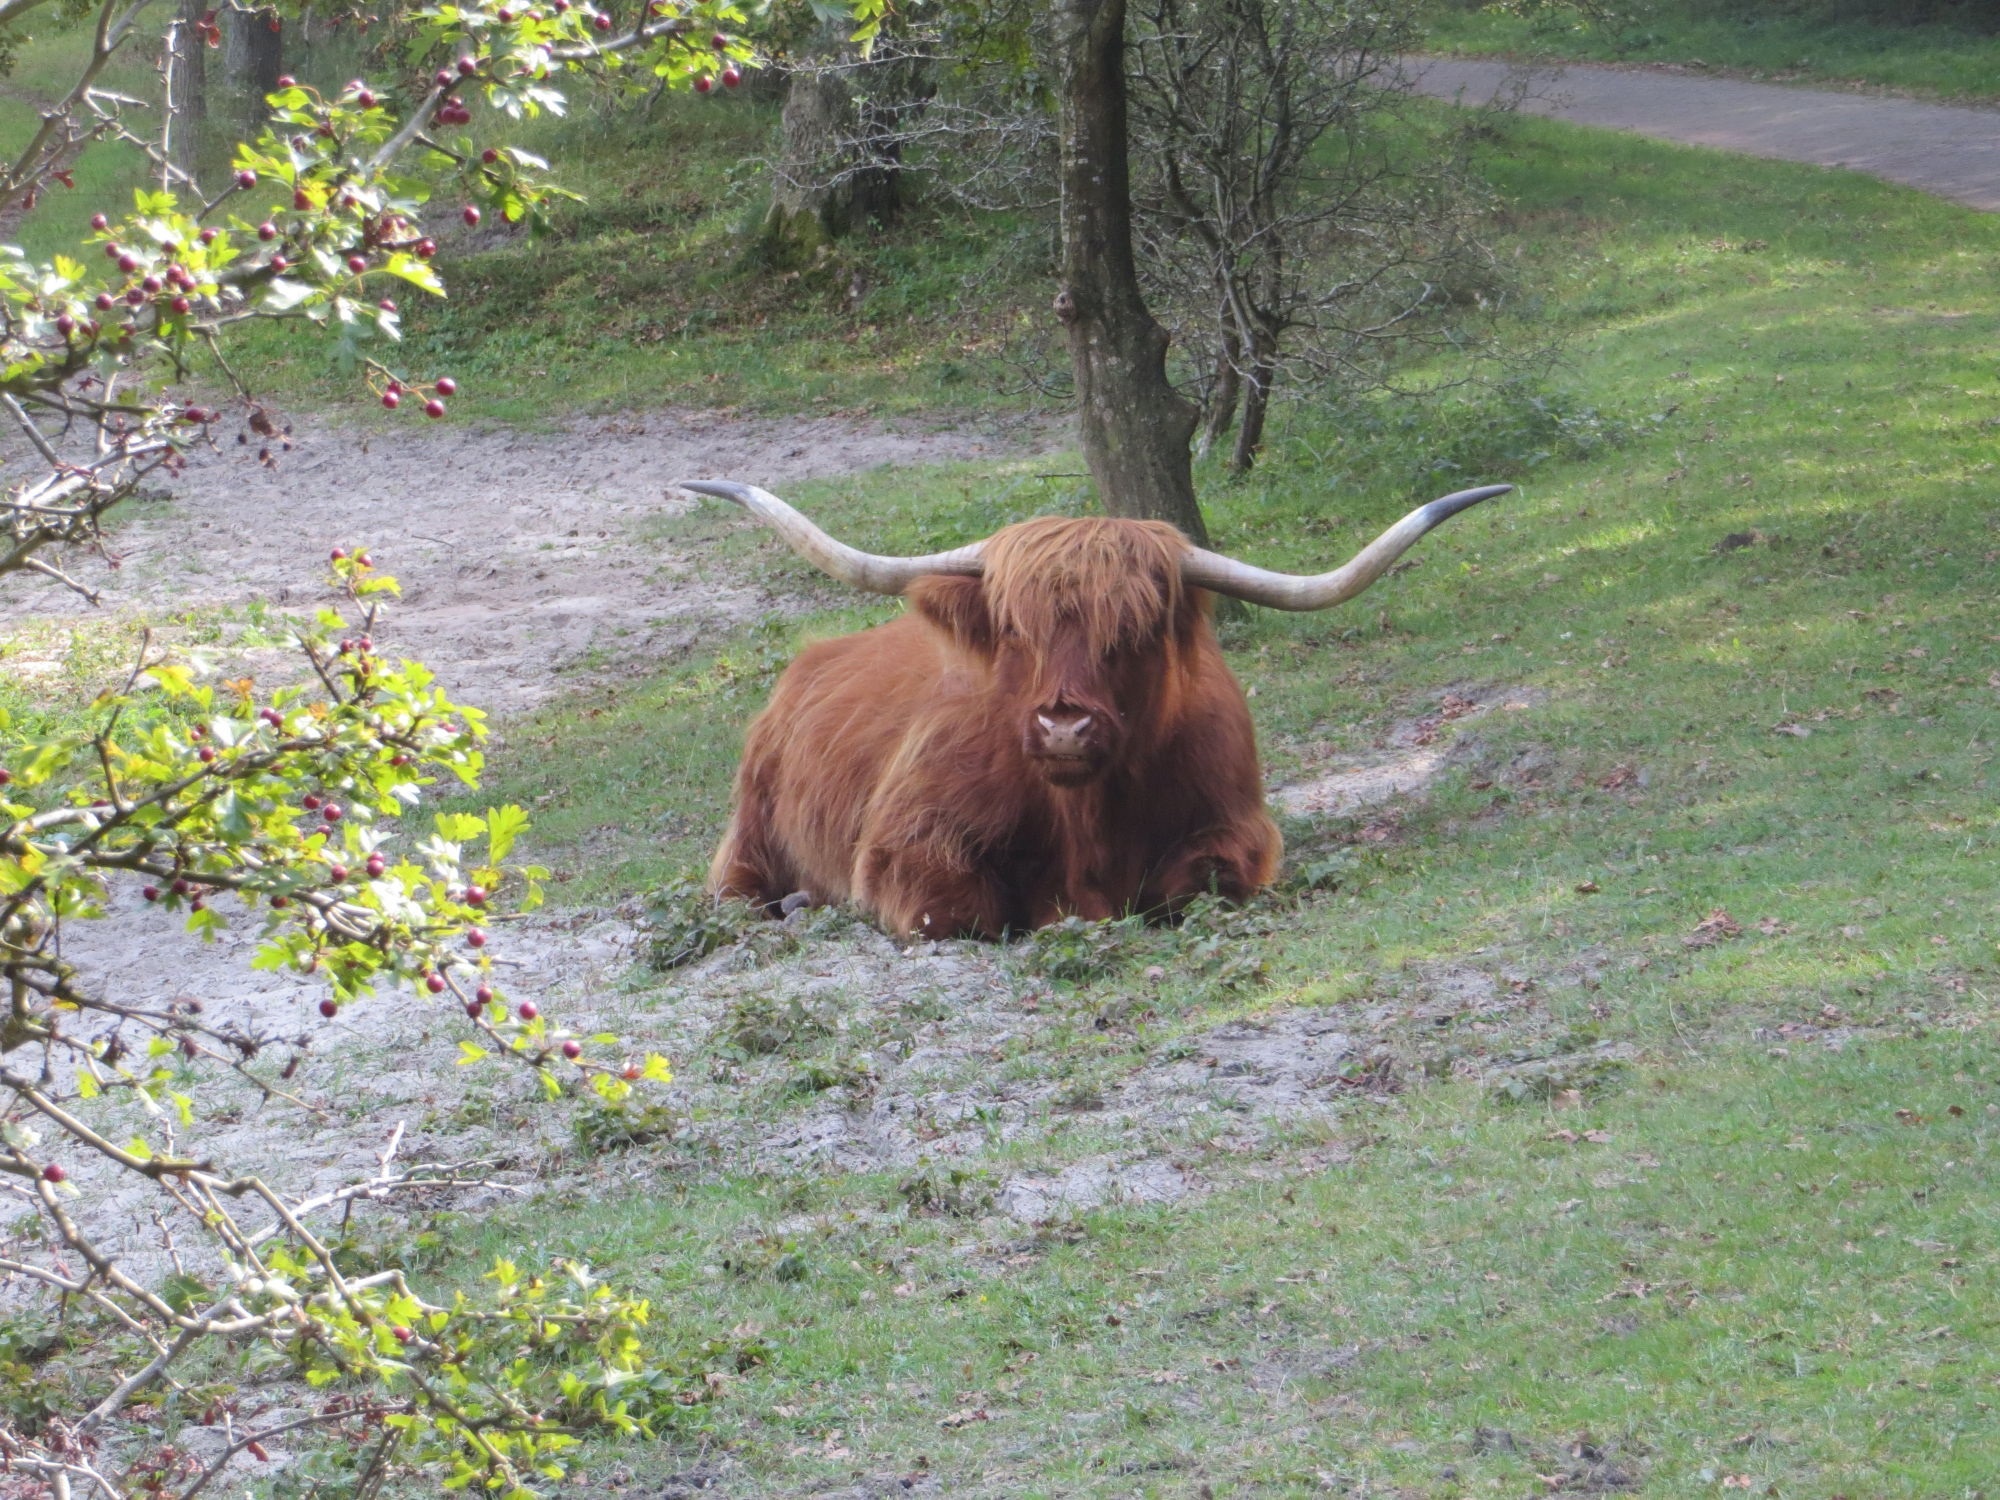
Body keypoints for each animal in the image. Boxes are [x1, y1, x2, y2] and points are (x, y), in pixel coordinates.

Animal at [680, 478, 1508, 940]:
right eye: (1016, 629)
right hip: (747, 843)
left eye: (1133, 632)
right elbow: (958, 913)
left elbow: (1200, 884)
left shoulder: (1236, 826)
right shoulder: (903, 844)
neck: (1087, 817)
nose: (1064, 724)